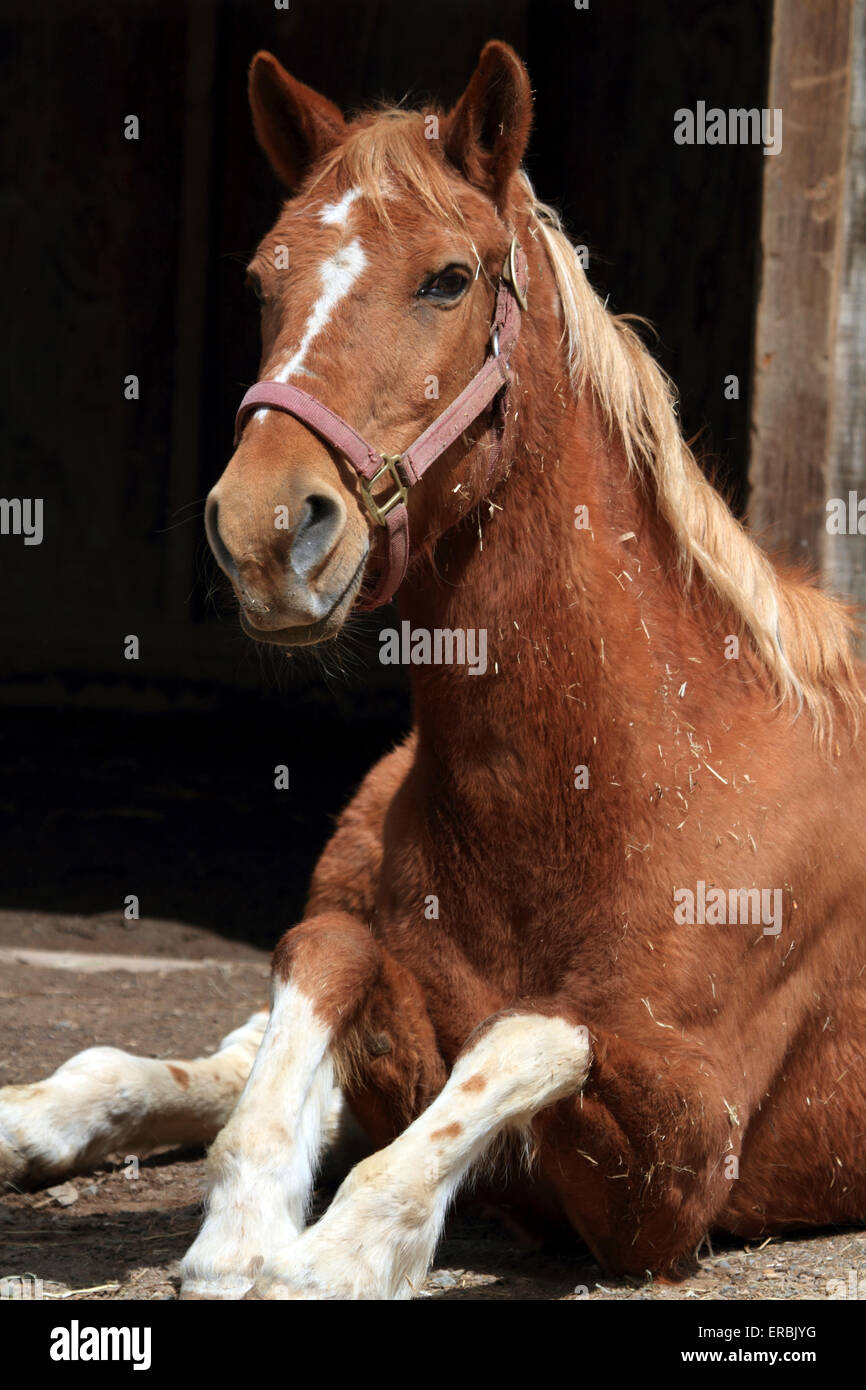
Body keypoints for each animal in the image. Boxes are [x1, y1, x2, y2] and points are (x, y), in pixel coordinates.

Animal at [1, 43, 866, 1295]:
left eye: (448, 280)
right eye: (261, 281)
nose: (263, 529)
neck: (639, 776)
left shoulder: (678, 1169)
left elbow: (523, 1034)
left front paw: (330, 1251)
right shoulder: (368, 976)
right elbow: (324, 960)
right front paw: (246, 1224)